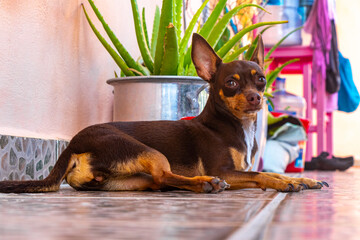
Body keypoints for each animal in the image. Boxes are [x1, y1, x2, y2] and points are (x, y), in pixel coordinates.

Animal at [0, 33, 328, 194]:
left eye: (260, 79)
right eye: (232, 83)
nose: (256, 97)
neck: (234, 126)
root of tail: (72, 146)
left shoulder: (238, 173)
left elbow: (265, 172)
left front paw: (305, 179)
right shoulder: (225, 170)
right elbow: (262, 173)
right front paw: (286, 182)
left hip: (130, 180)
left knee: (160, 181)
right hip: (147, 151)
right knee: (164, 175)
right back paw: (205, 184)